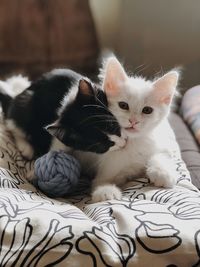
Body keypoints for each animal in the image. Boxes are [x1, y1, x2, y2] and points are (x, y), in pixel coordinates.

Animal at [75, 56, 180, 203]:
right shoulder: (107, 168)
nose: (133, 121)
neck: (132, 143)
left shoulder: (161, 144)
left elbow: (160, 154)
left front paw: (162, 172)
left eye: (147, 110)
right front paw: (106, 192)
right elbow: (101, 181)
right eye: (123, 105)